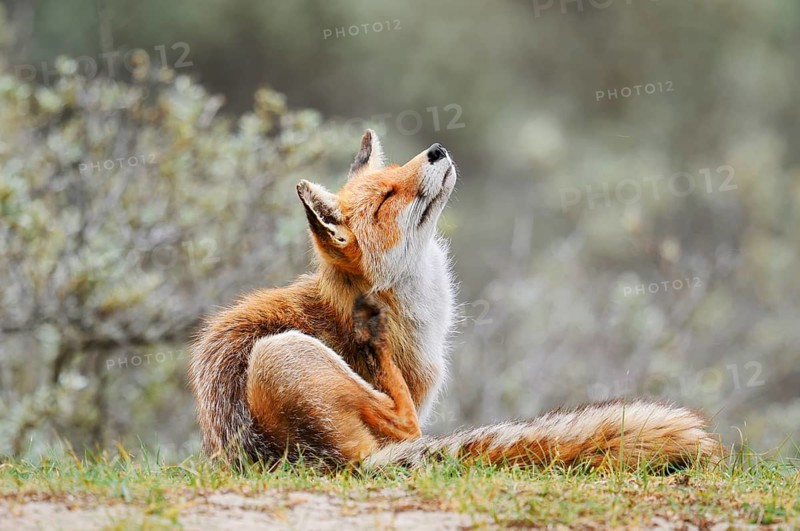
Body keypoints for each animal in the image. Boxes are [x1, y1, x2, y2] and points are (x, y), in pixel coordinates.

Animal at [188, 129, 722, 470]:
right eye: (385, 199)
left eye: (398, 169)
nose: (436, 149)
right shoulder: (417, 395)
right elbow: (410, 422)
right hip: (279, 354)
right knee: (403, 427)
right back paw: (373, 346)